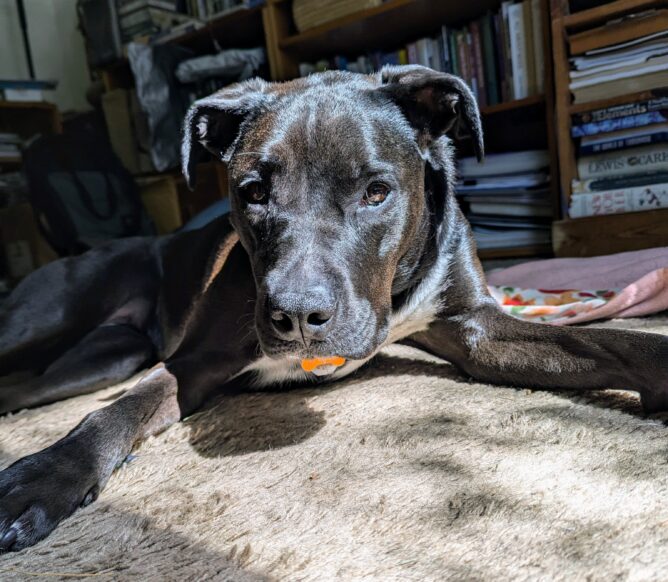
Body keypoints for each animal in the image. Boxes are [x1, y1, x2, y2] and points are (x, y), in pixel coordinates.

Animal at [0, 65, 667, 552]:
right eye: (253, 192)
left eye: (377, 192)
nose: (296, 316)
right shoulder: (196, 361)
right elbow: (113, 414)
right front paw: (45, 477)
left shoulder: (476, 328)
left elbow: (618, 340)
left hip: (109, 354)